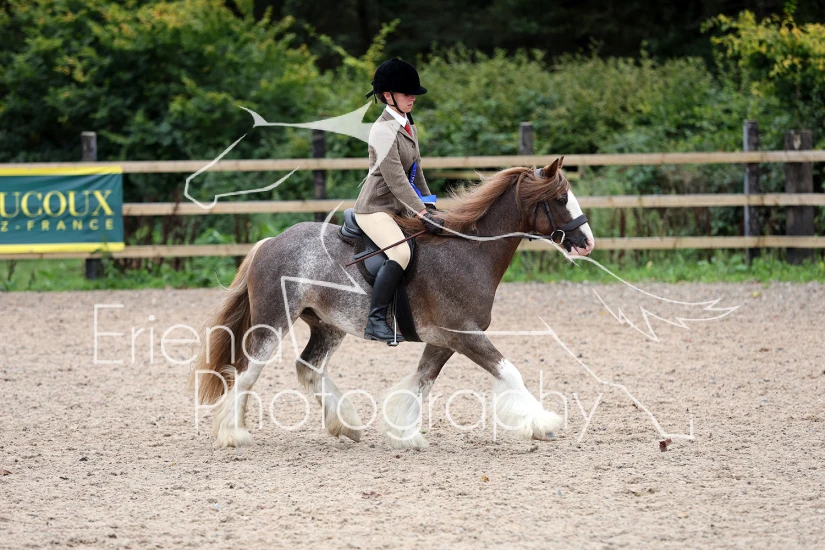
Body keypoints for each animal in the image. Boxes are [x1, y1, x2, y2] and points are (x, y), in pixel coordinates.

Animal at [189, 156, 595, 449]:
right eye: (561, 199)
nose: (587, 242)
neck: (468, 252)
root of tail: (270, 242)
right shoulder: (464, 334)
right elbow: (510, 372)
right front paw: (542, 423)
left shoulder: (444, 340)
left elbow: (421, 382)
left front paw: (405, 434)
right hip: (273, 321)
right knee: (247, 372)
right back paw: (234, 433)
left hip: (327, 325)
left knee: (308, 368)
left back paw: (346, 425)